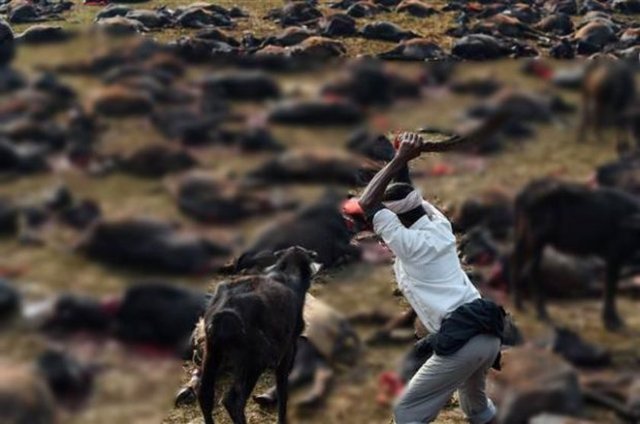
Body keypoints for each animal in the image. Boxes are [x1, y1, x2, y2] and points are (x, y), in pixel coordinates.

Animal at [198, 245, 318, 424]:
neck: (288, 274)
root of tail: (223, 313)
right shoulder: (288, 349)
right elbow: (283, 388)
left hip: (212, 351)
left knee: (205, 394)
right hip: (253, 361)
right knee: (232, 401)